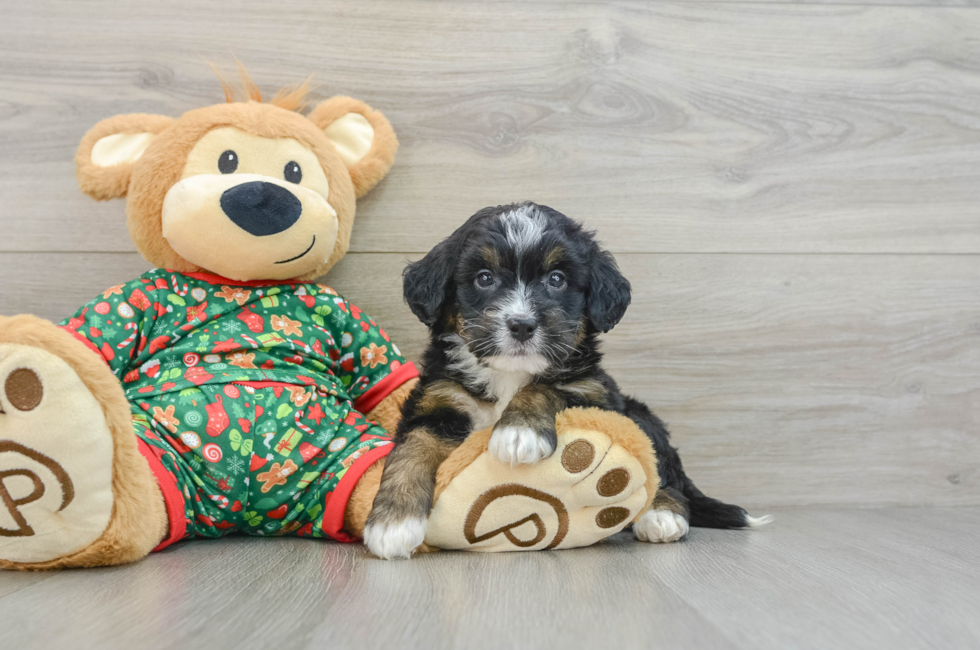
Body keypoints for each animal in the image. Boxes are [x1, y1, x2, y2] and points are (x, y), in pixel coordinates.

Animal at [364, 201, 768, 556]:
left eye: (557, 280)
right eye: (484, 278)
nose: (522, 324)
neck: (508, 375)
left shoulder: (594, 392)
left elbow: (545, 387)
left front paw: (518, 433)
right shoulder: (438, 402)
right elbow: (412, 449)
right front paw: (392, 523)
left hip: (638, 415)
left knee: (665, 475)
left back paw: (661, 515)